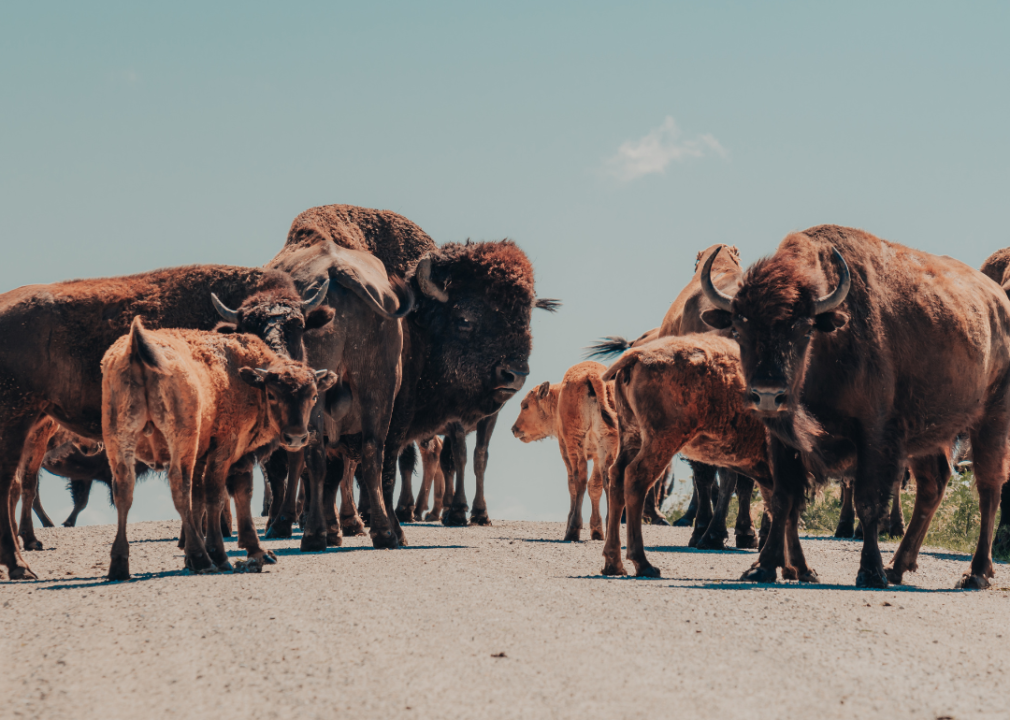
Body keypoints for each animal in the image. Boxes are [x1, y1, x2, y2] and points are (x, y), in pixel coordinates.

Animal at [0, 264, 331, 577]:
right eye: (250, 325)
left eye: (299, 326)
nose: (280, 364)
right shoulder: (224, 444)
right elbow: (223, 491)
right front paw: (230, 550)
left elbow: (217, 491)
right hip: (18, 423)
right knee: (12, 484)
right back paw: (20, 564)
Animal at [509, 359, 618, 541]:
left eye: (525, 406)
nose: (514, 429)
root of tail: (593, 375)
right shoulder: (598, 455)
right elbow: (595, 486)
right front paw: (597, 531)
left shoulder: (565, 449)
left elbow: (572, 484)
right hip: (608, 444)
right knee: (608, 479)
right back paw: (610, 529)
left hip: (576, 442)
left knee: (579, 479)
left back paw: (572, 530)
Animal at [698, 226, 1010, 589]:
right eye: (739, 327)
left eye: (804, 328)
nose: (767, 394)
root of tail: (998, 302)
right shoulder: (784, 440)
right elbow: (783, 497)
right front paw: (762, 567)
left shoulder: (873, 433)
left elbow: (868, 501)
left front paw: (870, 572)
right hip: (927, 436)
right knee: (933, 485)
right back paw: (898, 567)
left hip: (992, 419)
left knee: (988, 487)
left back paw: (975, 573)